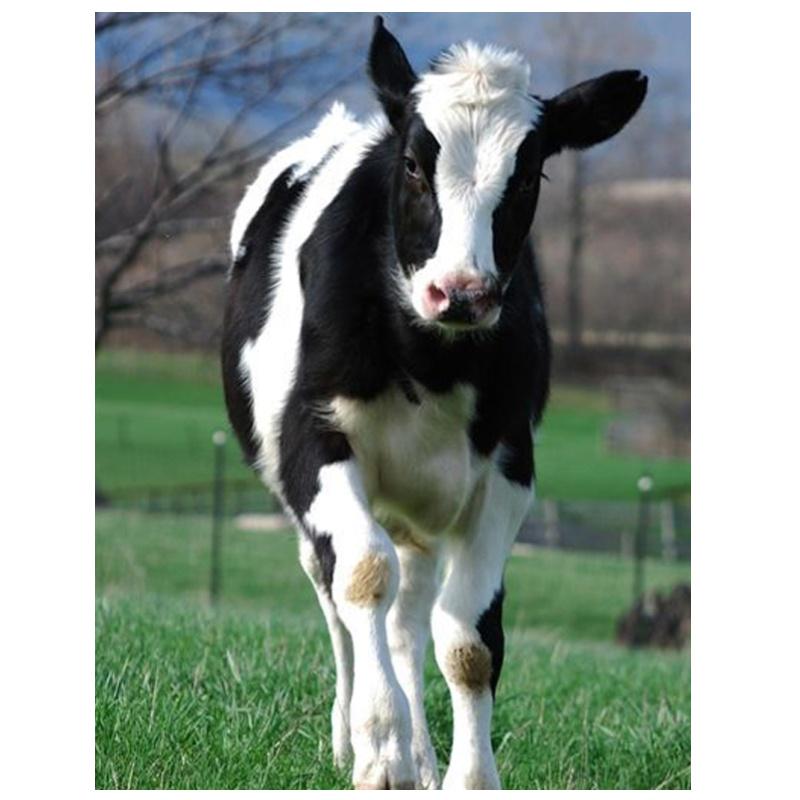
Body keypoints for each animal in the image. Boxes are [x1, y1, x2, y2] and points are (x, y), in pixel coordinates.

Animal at [222, 16, 646, 790]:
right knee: (341, 604)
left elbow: (468, 639)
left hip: (418, 504)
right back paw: (351, 737)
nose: (461, 292)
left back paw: (422, 752)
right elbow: (362, 575)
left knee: (408, 615)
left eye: (530, 174)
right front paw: (379, 749)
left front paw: (464, 775)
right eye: (416, 166)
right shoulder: (312, 441)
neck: (431, 361)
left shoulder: (509, 468)